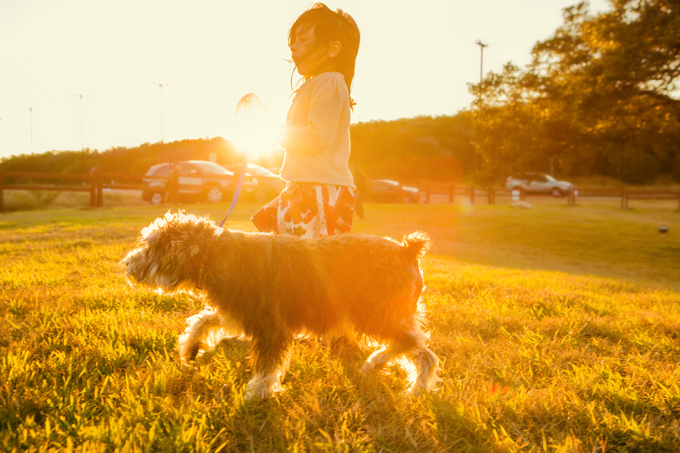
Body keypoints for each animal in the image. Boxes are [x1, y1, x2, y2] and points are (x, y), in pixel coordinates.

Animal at [121, 210, 440, 398]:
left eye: (153, 245)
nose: (127, 265)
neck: (214, 254)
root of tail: (408, 251)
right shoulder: (239, 312)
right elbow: (203, 319)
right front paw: (191, 348)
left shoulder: (271, 328)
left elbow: (267, 367)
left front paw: (257, 395)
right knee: (413, 346)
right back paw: (393, 374)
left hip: (373, 314)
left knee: (417, 348)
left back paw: (401, 379)